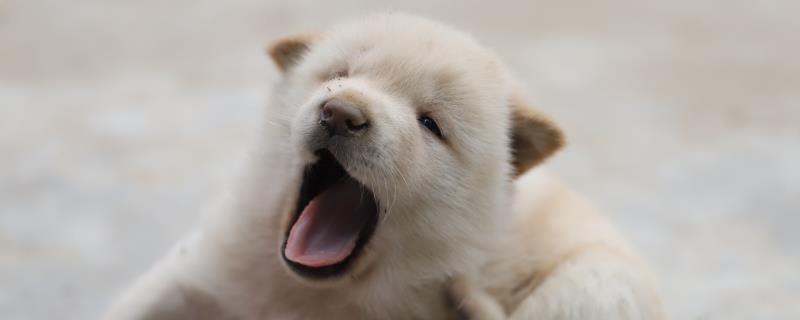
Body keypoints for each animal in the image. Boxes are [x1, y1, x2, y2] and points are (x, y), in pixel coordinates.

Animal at [104, 13, 664, 320]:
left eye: (429, 122)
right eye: (338, 74)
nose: (340, 112)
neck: (315, 295)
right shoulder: (203, 271)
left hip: (597, 279)